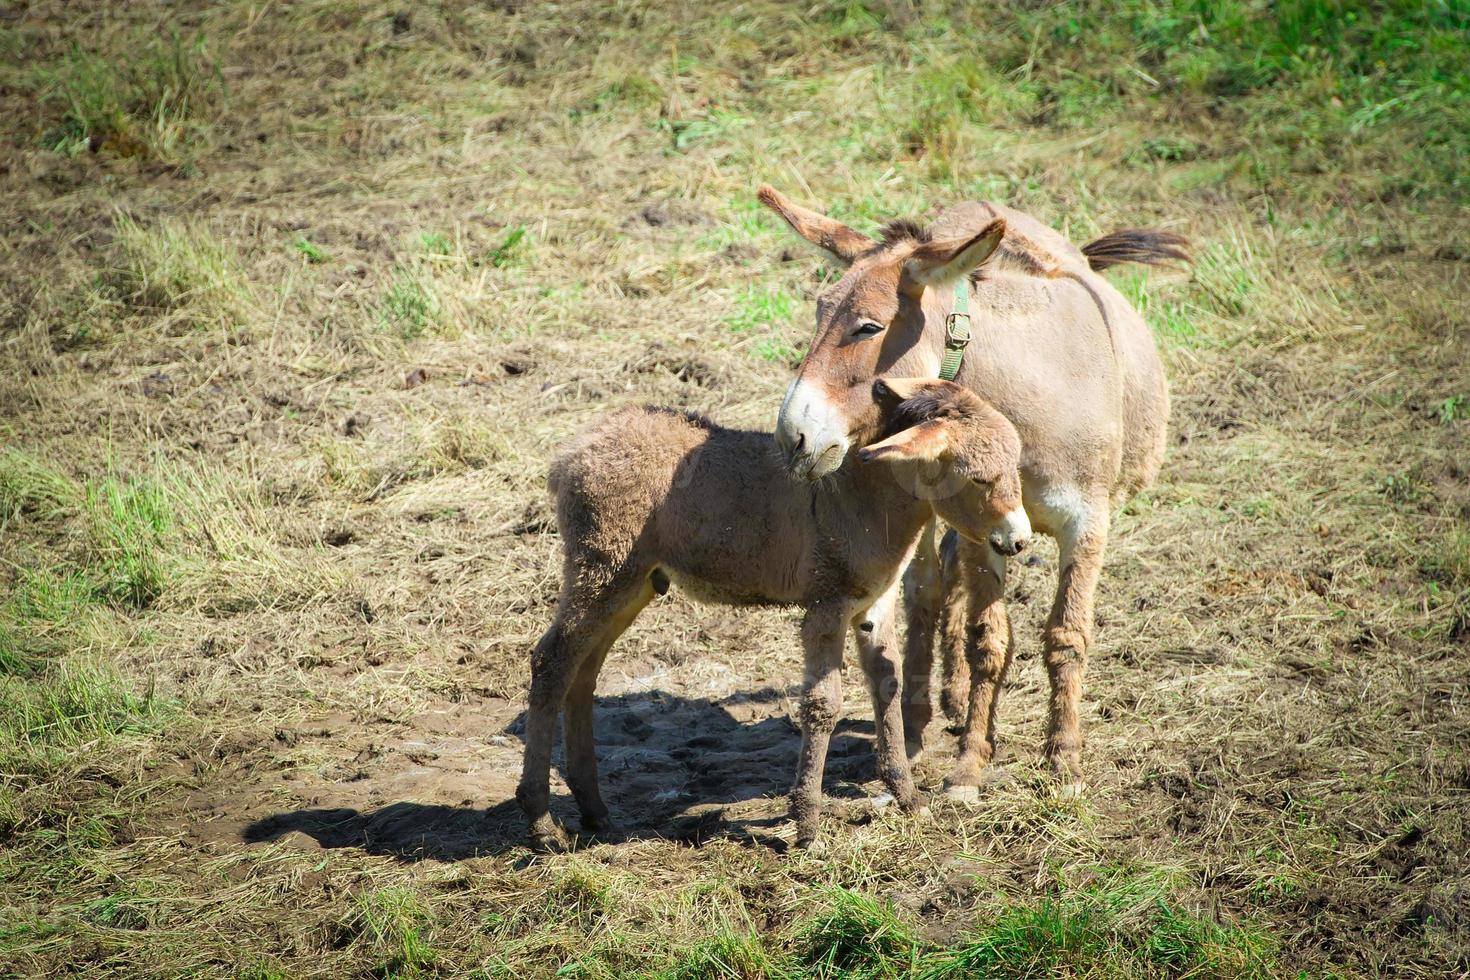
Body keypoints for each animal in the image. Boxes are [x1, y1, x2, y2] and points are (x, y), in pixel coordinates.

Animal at [523, 379, 1029, 846]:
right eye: (979, 479)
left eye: (1014, 469)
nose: (1020, 540)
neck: (862, 495)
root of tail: (574, 450)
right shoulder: (827, 606)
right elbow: (824, 703)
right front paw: (807, 825)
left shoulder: (875, 606)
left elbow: (888, 686)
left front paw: (907, 799)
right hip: (603, 571)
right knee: (552, 662)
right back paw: (541, 822)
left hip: (632, 584)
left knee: (583, 673)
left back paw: (594, 810)